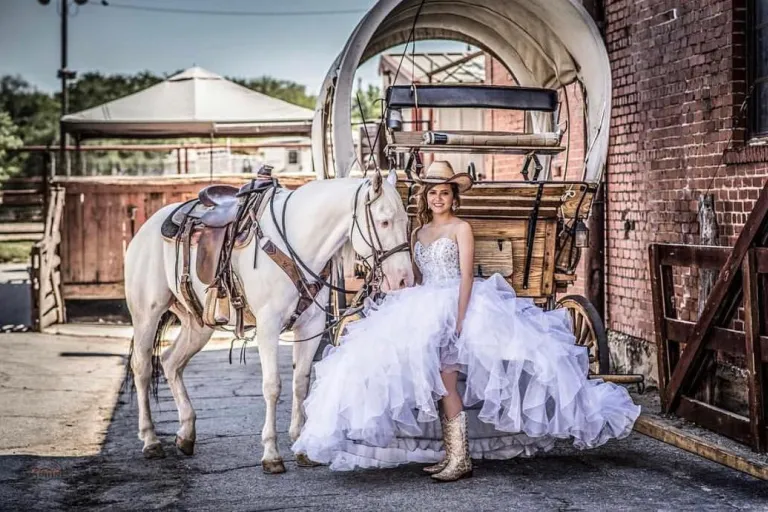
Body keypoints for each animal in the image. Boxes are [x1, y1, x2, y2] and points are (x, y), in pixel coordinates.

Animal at [124, 172, 414, 472]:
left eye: (405, 221)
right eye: (384, 221)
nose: (404, 279)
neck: (294, 243)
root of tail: (148, 226)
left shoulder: (310, 326)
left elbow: (300, 383)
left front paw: (301, 446)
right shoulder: (268, 327)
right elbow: (273, 386)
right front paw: (271, 454)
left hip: (198, 324)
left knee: (170, 362)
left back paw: (185, 434)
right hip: (146, 314)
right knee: (143, 368)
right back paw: (150, 440)